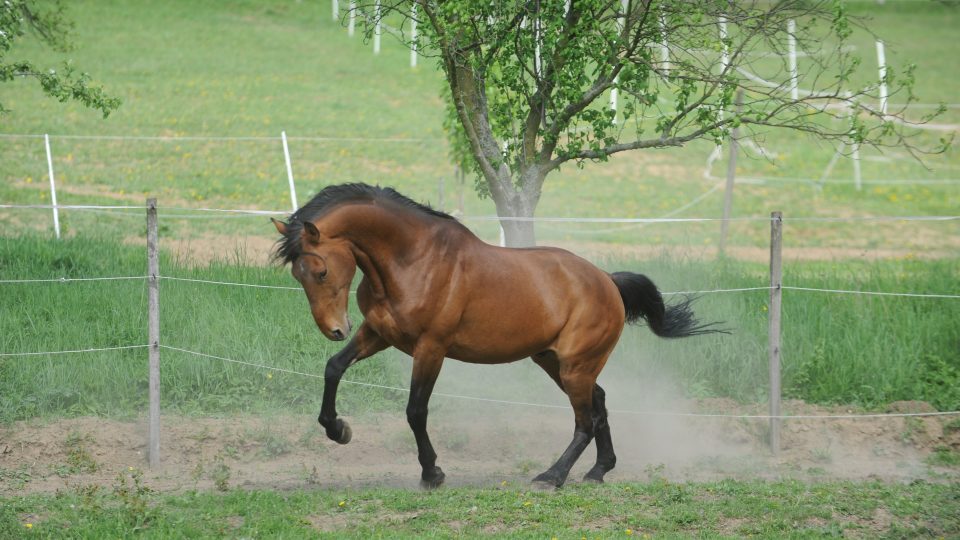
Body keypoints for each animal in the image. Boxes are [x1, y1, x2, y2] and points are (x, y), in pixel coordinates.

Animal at [270, 182, 720, 490]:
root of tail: (607, 281)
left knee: (585, 420)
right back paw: (598, 471)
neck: (412, 261)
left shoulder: (431, 348)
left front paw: (432, 472)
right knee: (600, 403)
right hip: (555, 361)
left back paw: (552, 477)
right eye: (297, 273)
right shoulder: (378, 333)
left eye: (320, 271)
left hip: (575, 366)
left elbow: (416, 411)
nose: (334, 329)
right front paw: (338, 429)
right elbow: (333, 368)